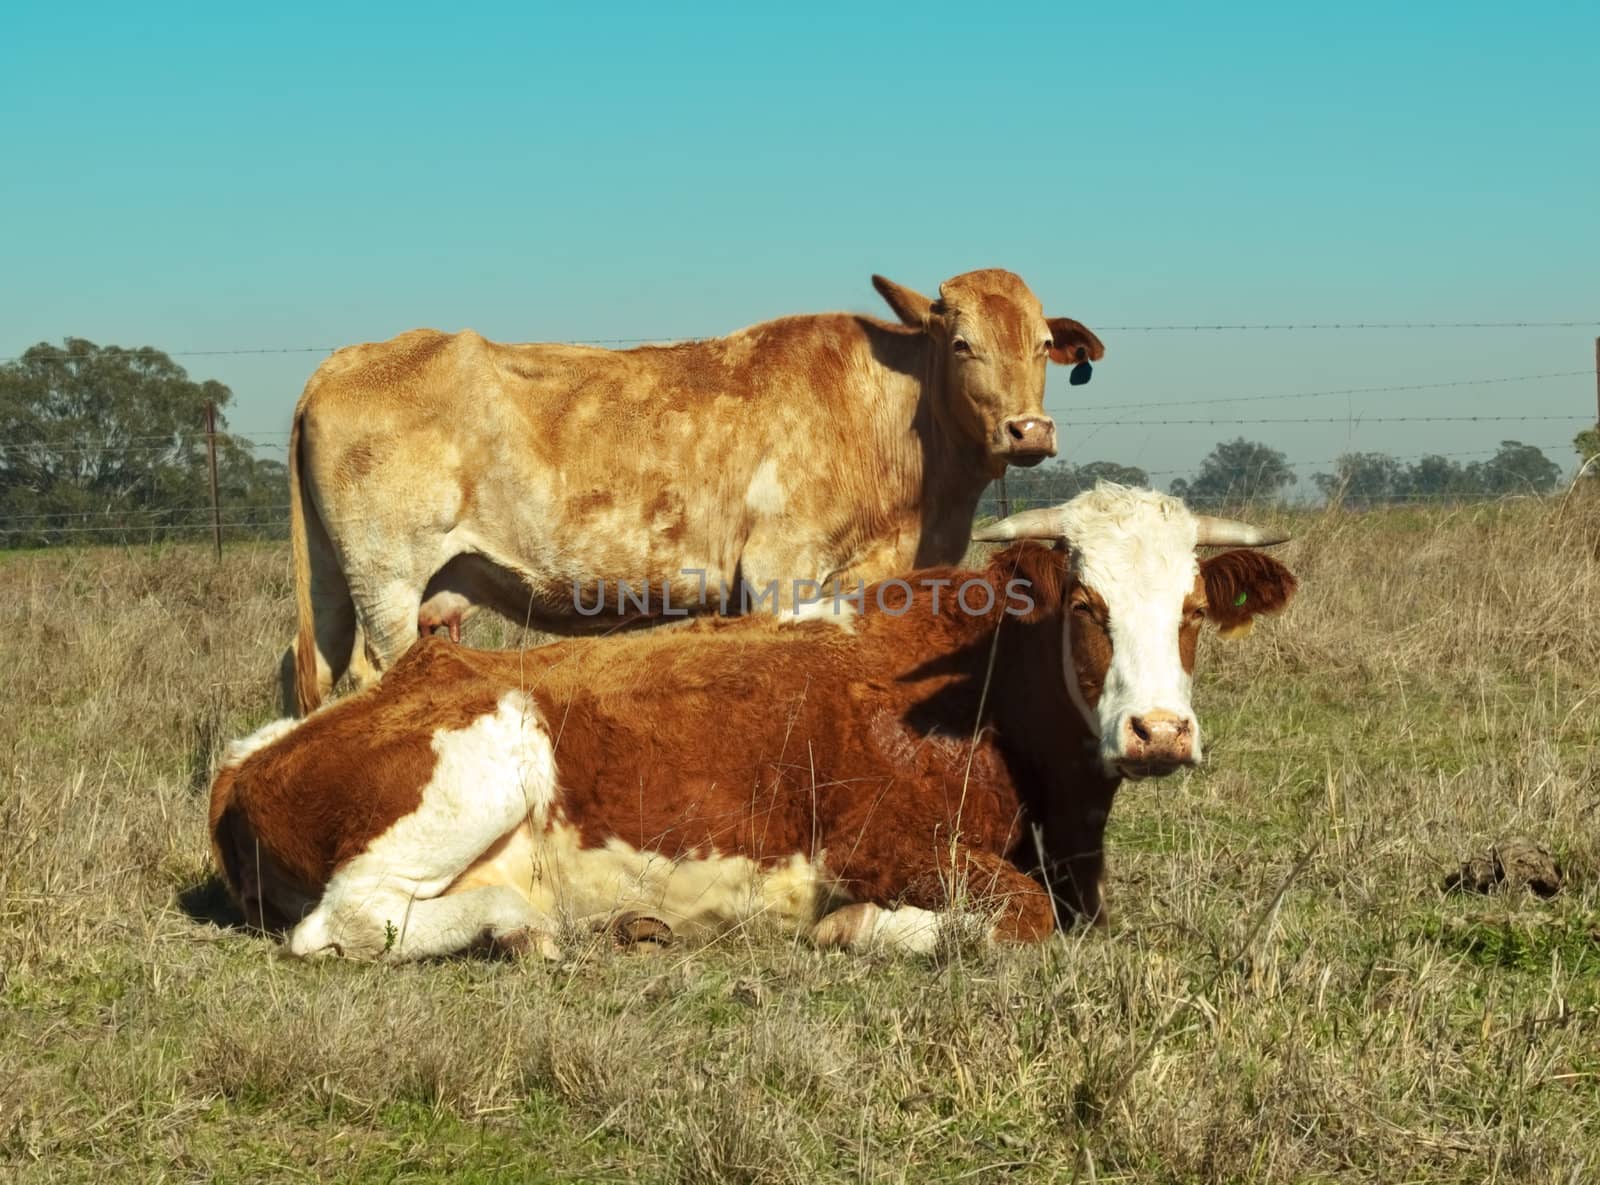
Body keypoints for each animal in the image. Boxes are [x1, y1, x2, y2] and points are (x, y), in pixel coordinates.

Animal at [216, 486, 1286, 959]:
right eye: (1088, 606)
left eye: (1193, 610)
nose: (1158, 730)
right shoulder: (879, 841)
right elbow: (1020, 917)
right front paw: (860, 925)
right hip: (490, 755)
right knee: (349, 920)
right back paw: (526, 924)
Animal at [284, 265, 1100, 713]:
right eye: (962, 344)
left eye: (1041, 347)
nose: (1030, 430)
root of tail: (342, 362)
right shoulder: (779, 568)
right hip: (388, 580)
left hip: (335, 581)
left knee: (312, 669)